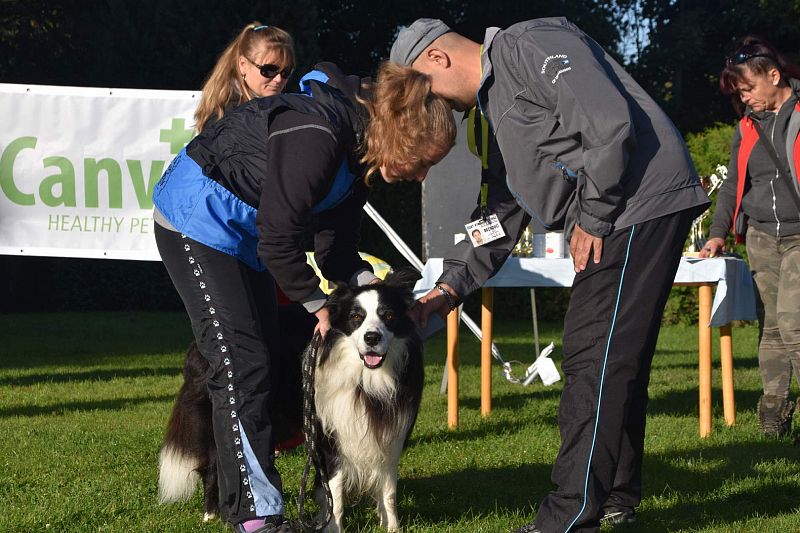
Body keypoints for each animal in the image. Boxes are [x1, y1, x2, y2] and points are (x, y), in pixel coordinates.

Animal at [159, 272, 428, 528]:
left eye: (389, 315)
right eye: (355, 317)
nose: (372, 338)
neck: (365, 379)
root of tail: (197, 346)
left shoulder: (392, 430)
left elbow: (388, 490)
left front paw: (392, 526)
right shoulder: (328, 430)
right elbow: (335, 492)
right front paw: (333, 524)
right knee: (215, 463)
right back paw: (212, 513)